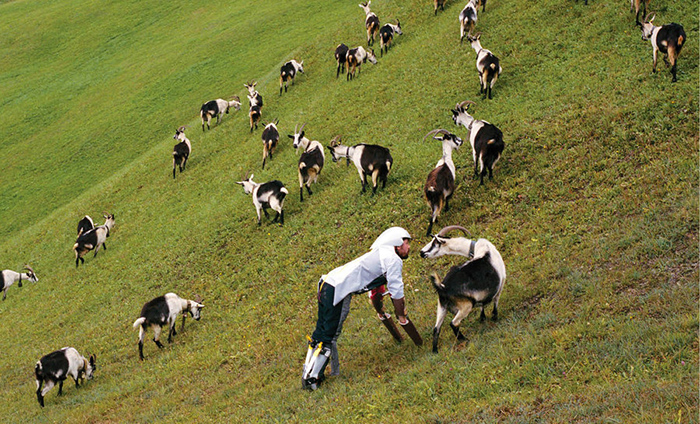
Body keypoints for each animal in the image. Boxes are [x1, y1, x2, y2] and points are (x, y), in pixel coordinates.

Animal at [418, 224, 506, 352]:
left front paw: (483, 318)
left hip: (441, 306)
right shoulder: (501, 281)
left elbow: (482, 305)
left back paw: (435, 351)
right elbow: (495, 301)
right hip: (466, 306)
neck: (479, 248)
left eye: (435, 243)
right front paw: (494, 317)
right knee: (453, 323)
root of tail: (443, 287)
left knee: (436, 328)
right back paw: (464, 339)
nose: (422, 252)